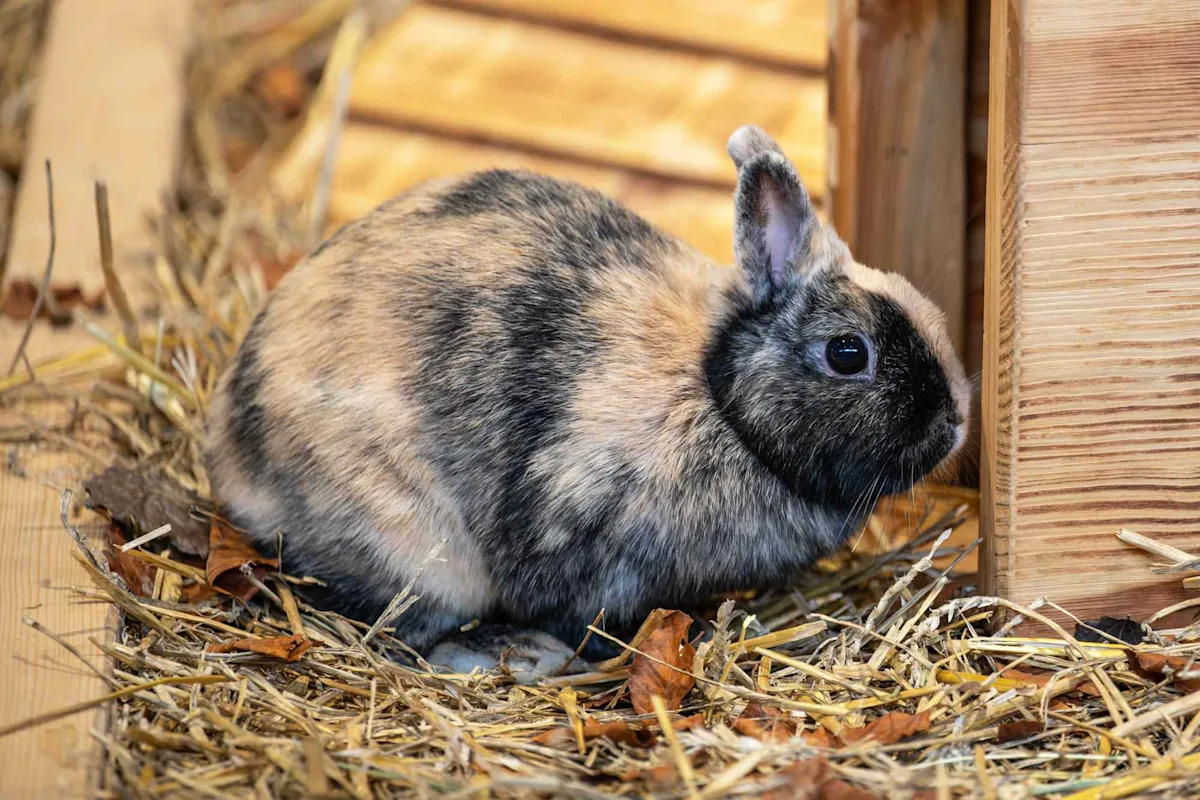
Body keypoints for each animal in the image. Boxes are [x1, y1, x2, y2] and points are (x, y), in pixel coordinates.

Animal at [204, 126, 970, 679]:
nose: (956, 421)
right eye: (848, 353)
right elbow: (582, 615)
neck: (720, 400)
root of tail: (234, 461)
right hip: (420, 554)